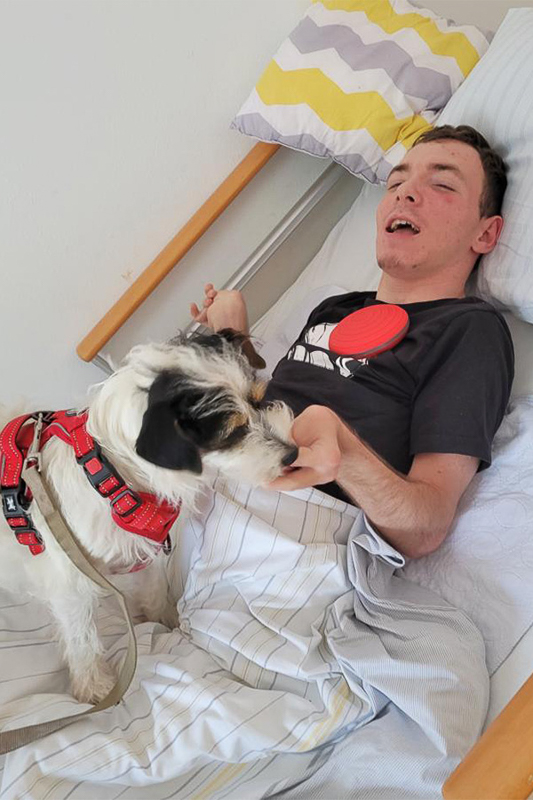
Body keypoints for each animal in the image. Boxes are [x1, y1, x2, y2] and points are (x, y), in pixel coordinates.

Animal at [0, 330, 296, 704]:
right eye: (233, 433)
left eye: (259, 399)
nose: (293, 453)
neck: (111, 476)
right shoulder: (68, 577)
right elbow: (81, 632)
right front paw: (94, 685)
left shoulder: (143, 549)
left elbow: (155, 590)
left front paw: (165, 620)